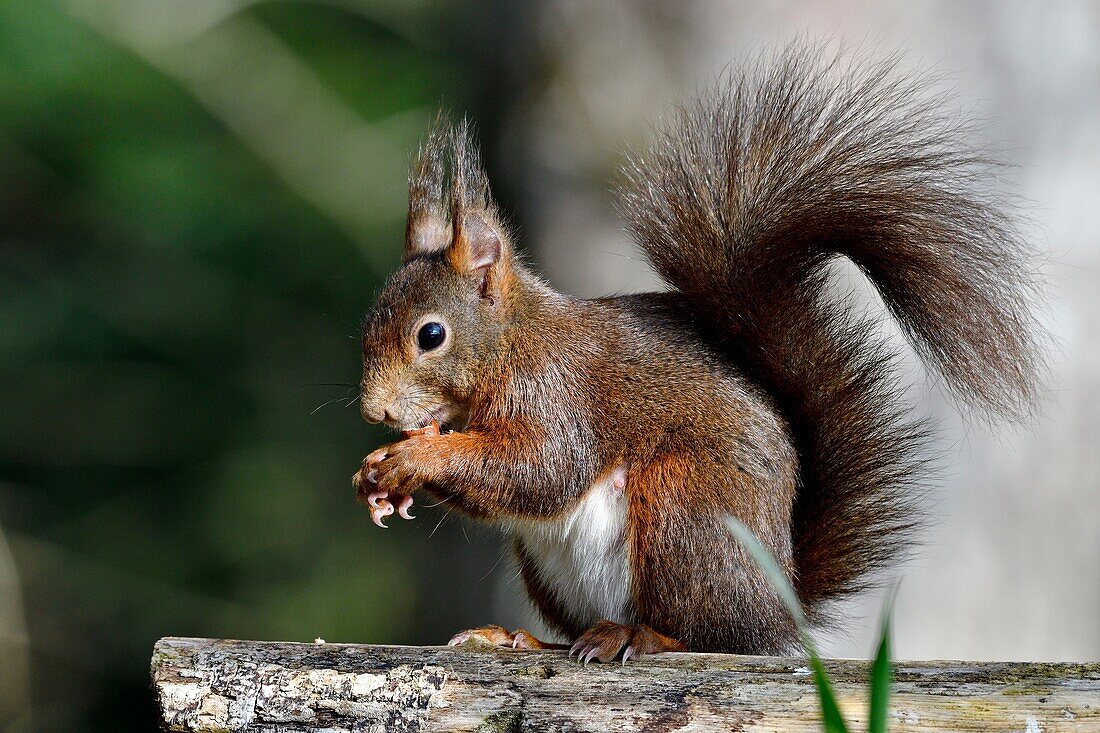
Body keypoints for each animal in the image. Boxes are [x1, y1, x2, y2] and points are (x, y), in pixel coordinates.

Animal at [349, 47, 1038, 660]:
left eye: (430, 335)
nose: (375, 412)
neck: (513, 342)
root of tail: (777, 600)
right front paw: (376, 475)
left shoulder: (557, 393)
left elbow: (539, 469)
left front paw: (412, 458)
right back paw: (521, 638)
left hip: (685, 510)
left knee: (712, 637)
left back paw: (641, 637)